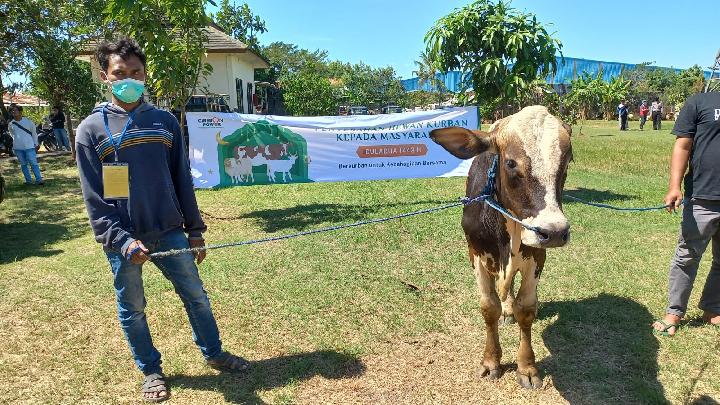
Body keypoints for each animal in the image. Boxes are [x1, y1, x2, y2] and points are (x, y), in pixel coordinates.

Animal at [430, 105, 572, 390]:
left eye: (567, 161)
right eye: (511, 163)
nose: (554, 232)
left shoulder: (537, 255)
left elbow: (526, 309)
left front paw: (526, 367)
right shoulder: (475, 254)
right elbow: (489, 306)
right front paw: (490, 361)